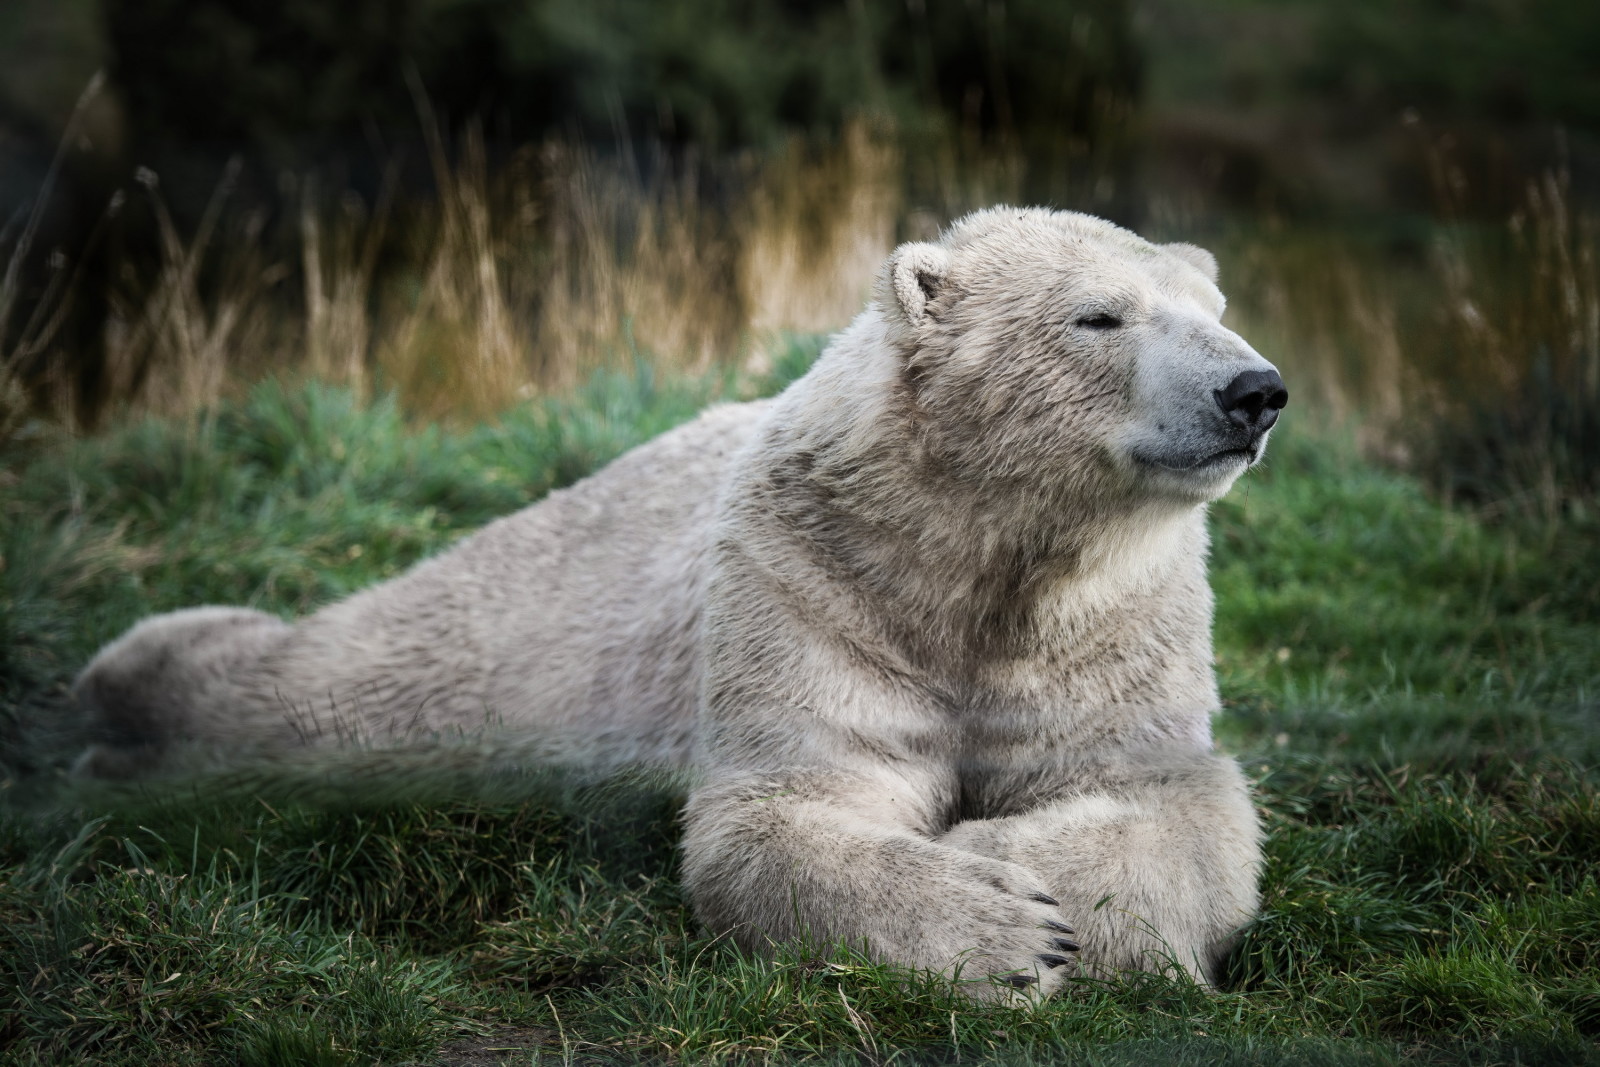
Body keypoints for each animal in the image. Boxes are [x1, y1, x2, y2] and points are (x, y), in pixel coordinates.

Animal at [72, 206, 1286, 991]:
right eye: (1100, 317)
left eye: (1217, 305)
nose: (1255, 388)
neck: (972, 548)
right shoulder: (814, 580)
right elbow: (782, 806)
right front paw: (1004, 927)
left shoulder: (1111, 623)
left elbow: (1173, 800)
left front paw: (1017, 861)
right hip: (521, 624)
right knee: (345, 685)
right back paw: (134, 683)